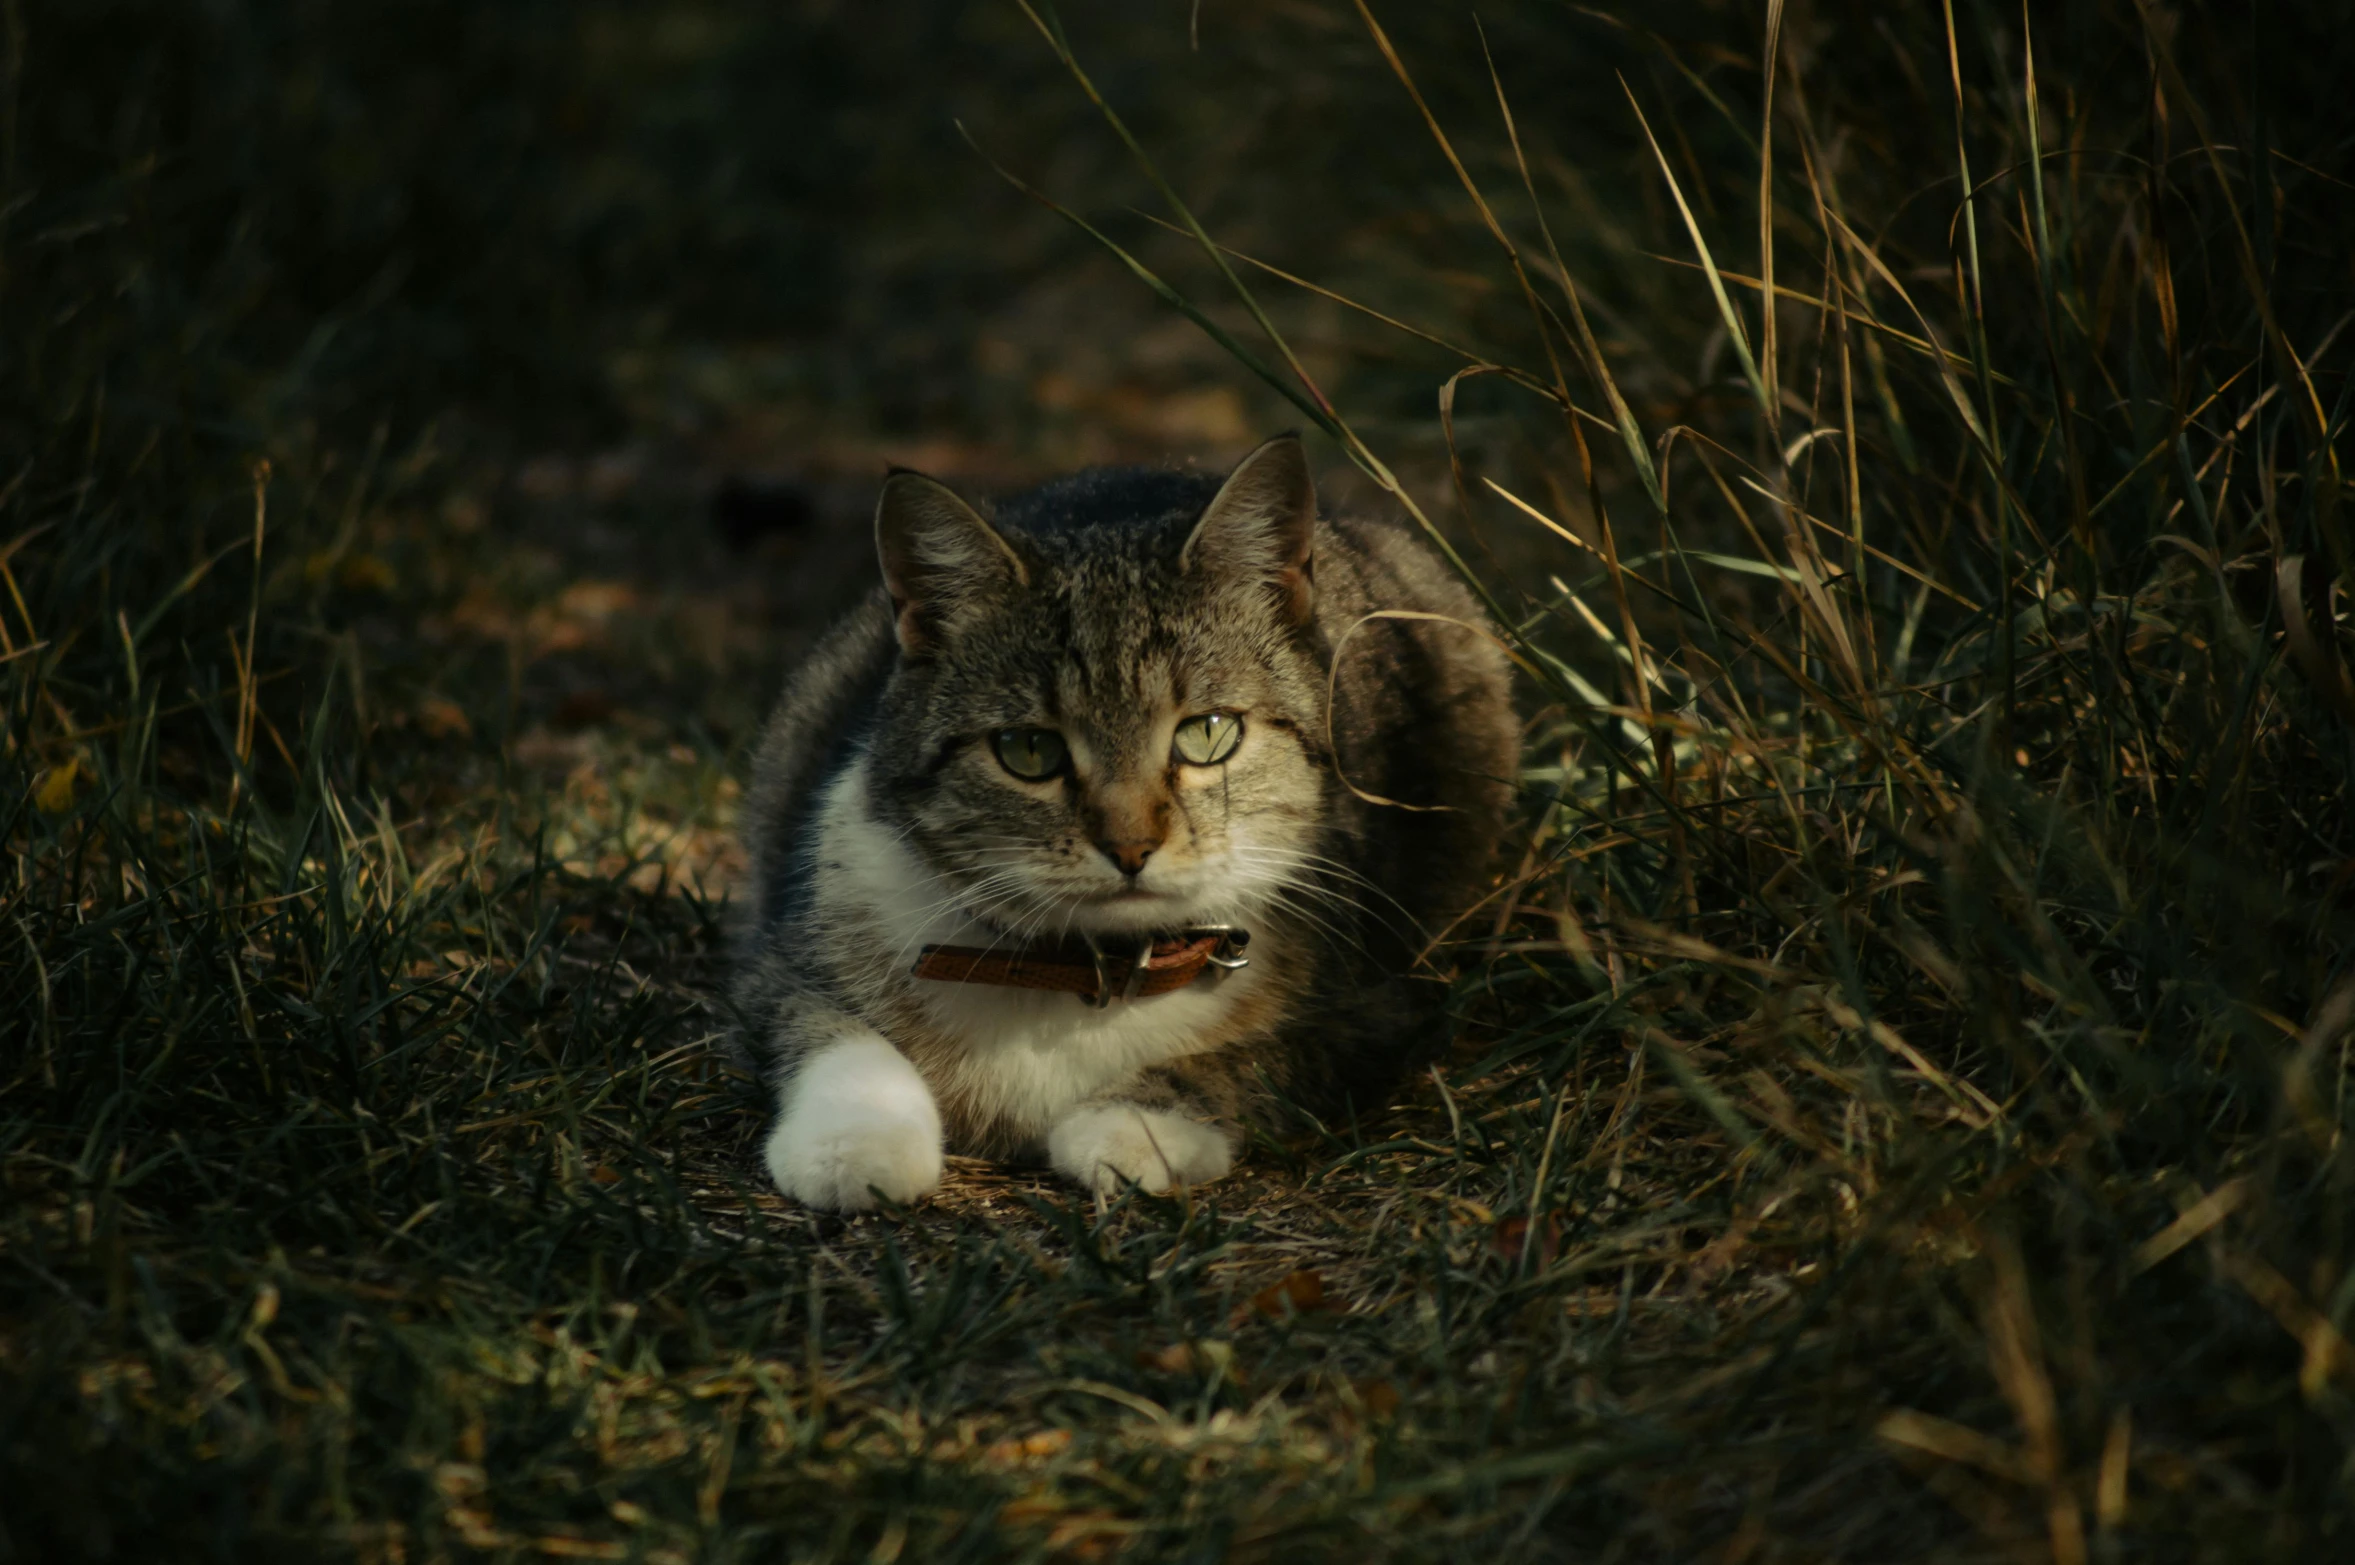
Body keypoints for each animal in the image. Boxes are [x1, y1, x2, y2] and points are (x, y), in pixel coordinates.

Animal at [725, 433, 1516, 1214]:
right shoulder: (778, 958)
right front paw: (854, 1138)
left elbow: (1249, 1061)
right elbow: (833, 1033)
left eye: (1208, 733)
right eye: (1029, 749)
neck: (1085, 972)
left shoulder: (1380, 1010)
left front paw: (1132, 1123)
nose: (1131, 847)